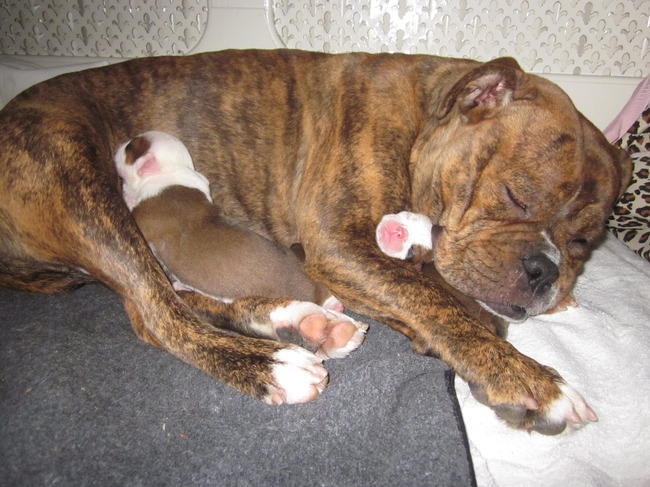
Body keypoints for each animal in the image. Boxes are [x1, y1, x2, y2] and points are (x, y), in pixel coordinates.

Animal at [0, 50, 631, 433]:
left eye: (585, 241)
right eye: (515, 195)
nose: (545, 270)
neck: (426, 114)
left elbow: (432, 299)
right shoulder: (341, 244)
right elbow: (438, 304)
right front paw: (528, 380)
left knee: (182, 296)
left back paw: (299, 322)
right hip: (82, 187)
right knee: (156, 313)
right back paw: (271, 365)